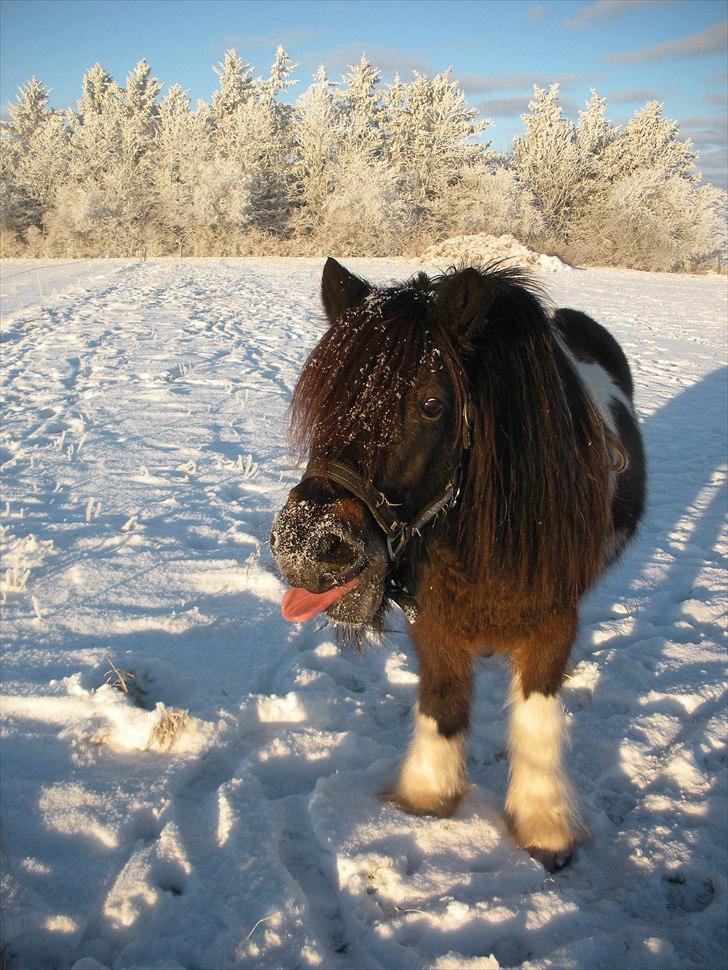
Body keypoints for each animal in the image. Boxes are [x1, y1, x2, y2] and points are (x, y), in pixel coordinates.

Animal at [270, 260, 644, 868]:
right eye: (327, 401)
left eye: (431, 405)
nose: (307, 545)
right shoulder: (435, 618)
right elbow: (443, 701)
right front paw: (428, 797)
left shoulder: (553, 618)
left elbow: (537, 712)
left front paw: (544, 823)